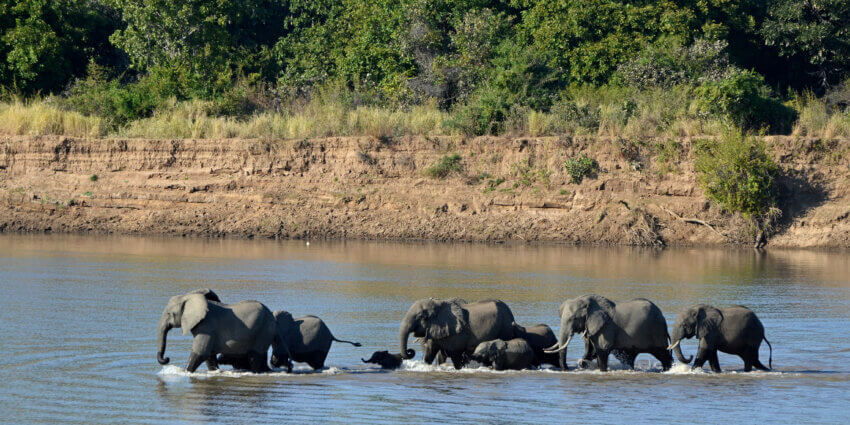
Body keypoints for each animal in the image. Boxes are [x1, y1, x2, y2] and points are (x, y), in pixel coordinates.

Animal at [157, 288, 290, 372]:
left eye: (169, 314)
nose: (167, 359)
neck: (189, 297)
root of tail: (273, 317)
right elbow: (209, 356)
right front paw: (215, 371)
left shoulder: (207, 326)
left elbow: (201, 353)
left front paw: (185, 372)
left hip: (264, 330)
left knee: (254, 357)